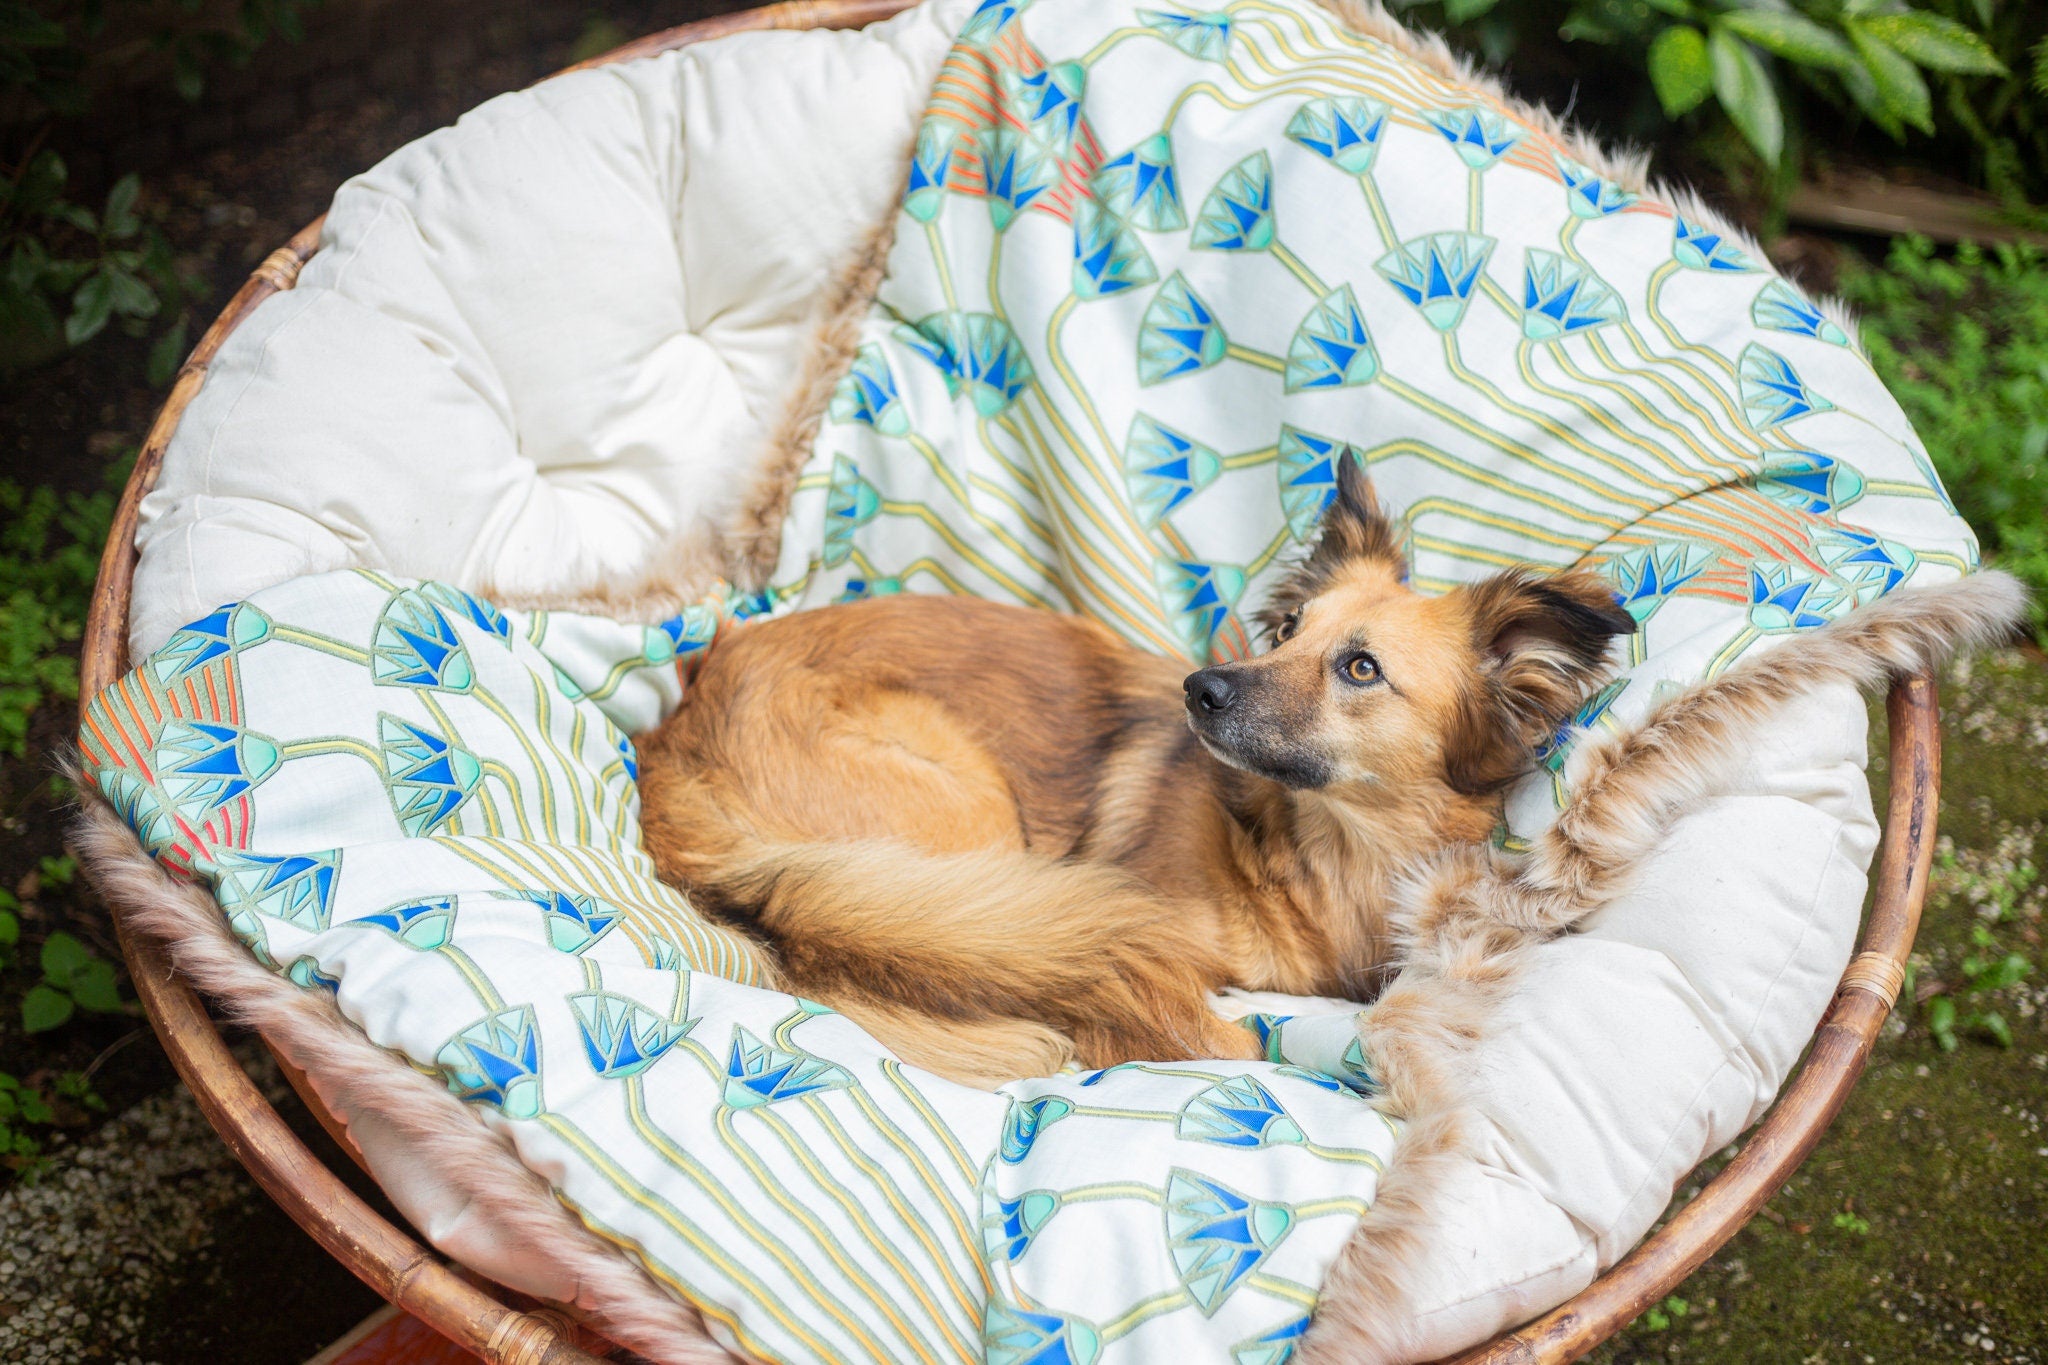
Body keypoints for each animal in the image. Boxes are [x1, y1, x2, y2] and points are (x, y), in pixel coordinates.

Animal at [638, 458, 1630, 1088]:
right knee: (828, 956)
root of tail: (673, 737)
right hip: (960, 830)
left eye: (1359, 667)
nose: (1200, 688)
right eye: (1287, 628)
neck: (1324, 853)